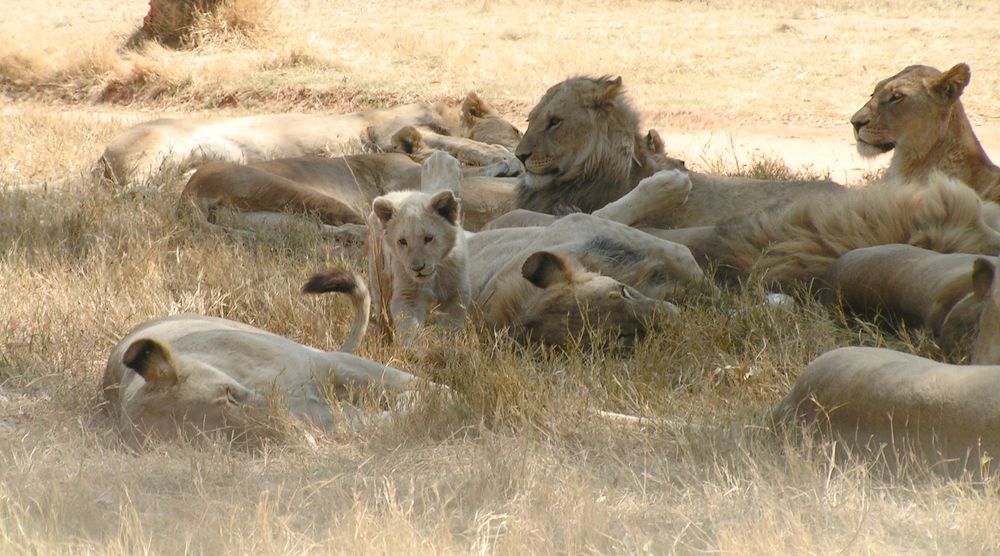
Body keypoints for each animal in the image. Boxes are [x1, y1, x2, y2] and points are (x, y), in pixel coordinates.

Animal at [102, 268, 434, 446]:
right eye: (228, 439)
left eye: (229, 394)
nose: (286, 426)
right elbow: (361, 423)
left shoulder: (320, 364)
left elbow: (424, 389)